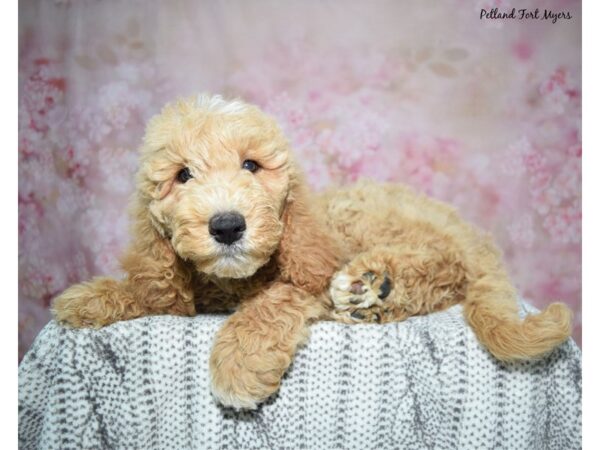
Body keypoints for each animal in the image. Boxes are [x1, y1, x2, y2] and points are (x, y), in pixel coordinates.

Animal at [54, 93, 576, 410]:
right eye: (183, 175)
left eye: (251, 166)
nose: (227, 225)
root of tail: (471, 231)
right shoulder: (192, 288)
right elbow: (156, 289)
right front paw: (92, 297)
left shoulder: (313, 268)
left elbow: (275, 300)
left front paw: (241, 361)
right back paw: (374, 299)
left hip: (370, 221)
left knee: (446, 267)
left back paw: (373, 286)